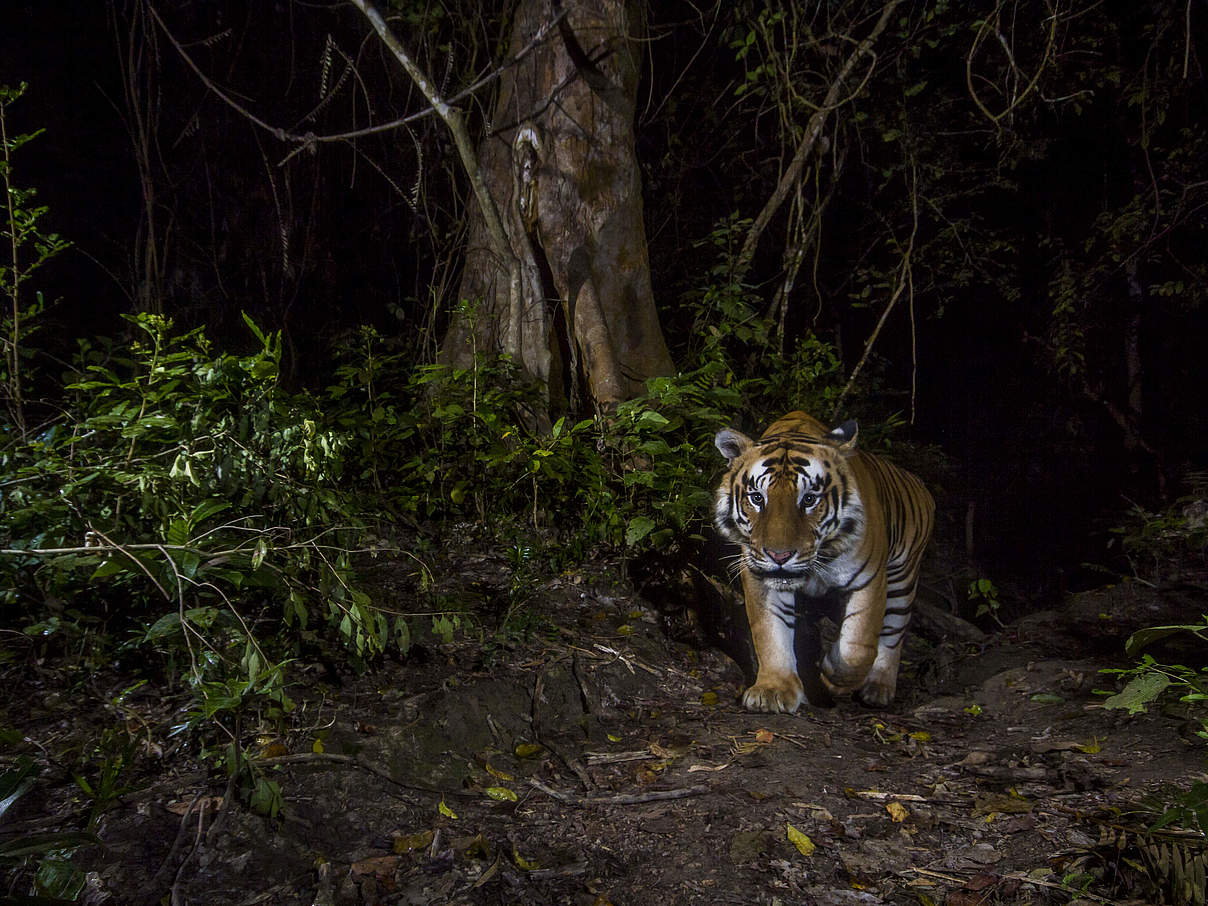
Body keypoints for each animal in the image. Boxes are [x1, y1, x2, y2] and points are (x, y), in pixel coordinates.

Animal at [710, 410, 937, 715]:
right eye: (757, 498)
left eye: (809, 499)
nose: (779, 556)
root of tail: (919, 484)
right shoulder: (761, 577)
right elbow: (770, 632)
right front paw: (773, 691)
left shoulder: (870, 580)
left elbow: (858, 645)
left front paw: (832, 676)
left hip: (903, 578)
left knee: (893, 633)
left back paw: (878, 688)